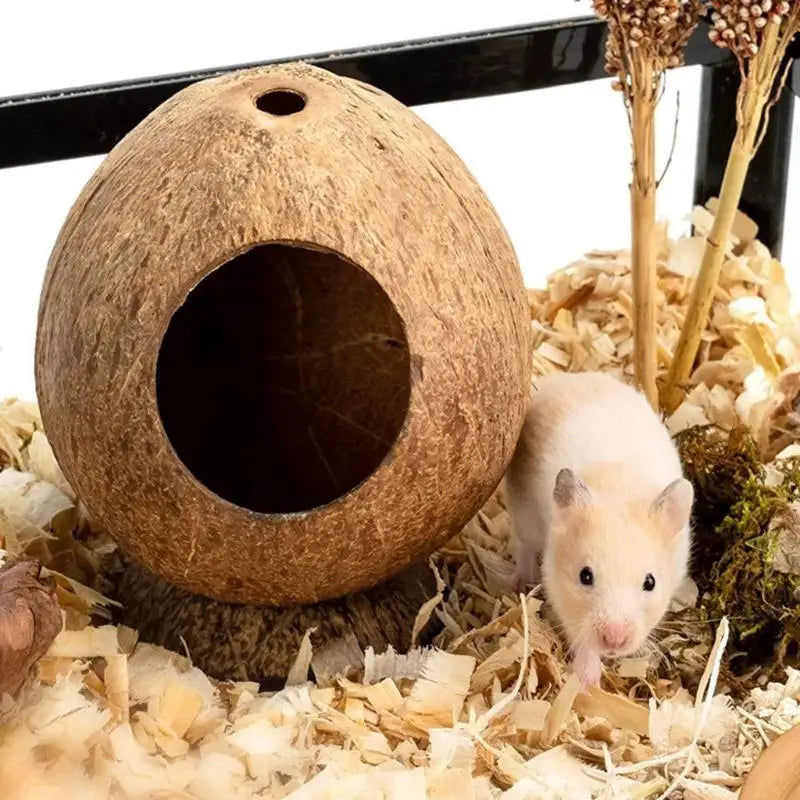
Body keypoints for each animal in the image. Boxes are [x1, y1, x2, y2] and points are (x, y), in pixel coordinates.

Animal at [503, 371, 694, 688]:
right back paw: (519, 583)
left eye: (650, 582)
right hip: (524, 515)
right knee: (524, 547)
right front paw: (587, 681)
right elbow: (580, 638)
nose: (614, 642)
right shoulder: (558, 586)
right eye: (585, 576)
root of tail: (559, 380)